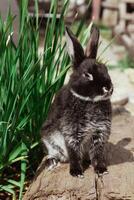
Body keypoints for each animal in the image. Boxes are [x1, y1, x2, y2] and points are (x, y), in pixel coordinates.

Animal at [40, 25, 113, 177]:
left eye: (106, 69)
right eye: (87, 75)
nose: (108, 88)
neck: (90, 102)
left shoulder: (100, 132)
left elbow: (98, 154)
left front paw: (101, 169)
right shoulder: (72, 132)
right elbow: (73, 152)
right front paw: (76, 172)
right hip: (49, 140)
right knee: (54, 155)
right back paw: (52, 163)